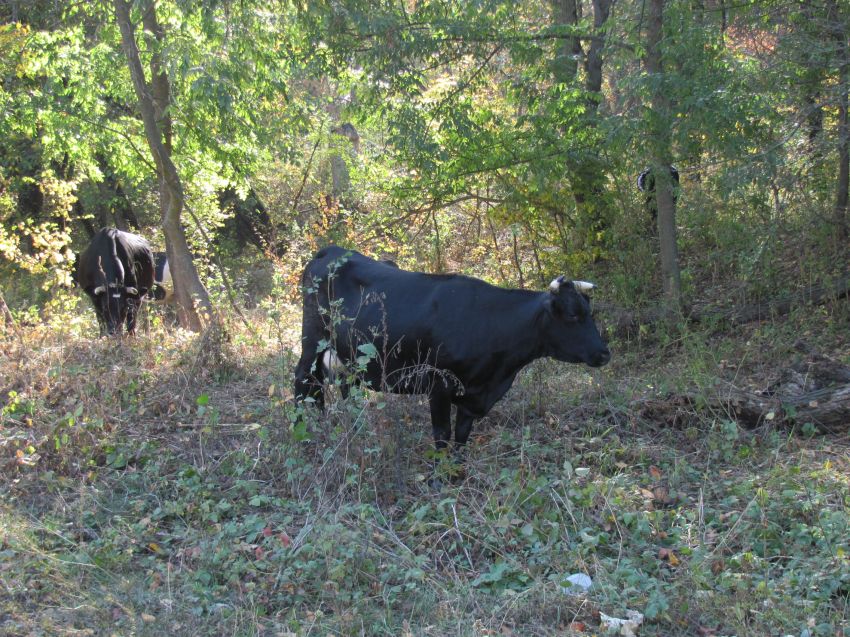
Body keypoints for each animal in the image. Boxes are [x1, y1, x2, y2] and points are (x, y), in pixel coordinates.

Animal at [294, 246, 608, 460]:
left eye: (590, 312)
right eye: (572, 315)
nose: (604, 354)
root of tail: (332, 250)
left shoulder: (473, 395)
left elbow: (461, 435)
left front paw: (457, 471)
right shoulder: (439, 385)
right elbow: (442, 434)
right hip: (312, 338)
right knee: (304, 381)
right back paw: (305, 432)